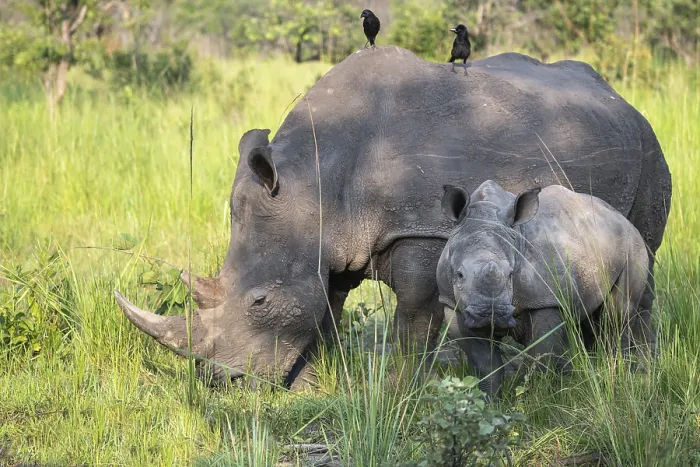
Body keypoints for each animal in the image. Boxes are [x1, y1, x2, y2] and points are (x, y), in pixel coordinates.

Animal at [437, 180, 651, 395]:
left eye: (511, 275)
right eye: (459, 275)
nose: (490, 314)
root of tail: (620, 217)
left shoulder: (546, 300)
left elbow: (540, 357)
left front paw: (535, 397)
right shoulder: (451, 304)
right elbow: (485, 364)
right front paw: (488, 399)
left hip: (633, 244)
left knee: (617, 315)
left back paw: (620, 373)